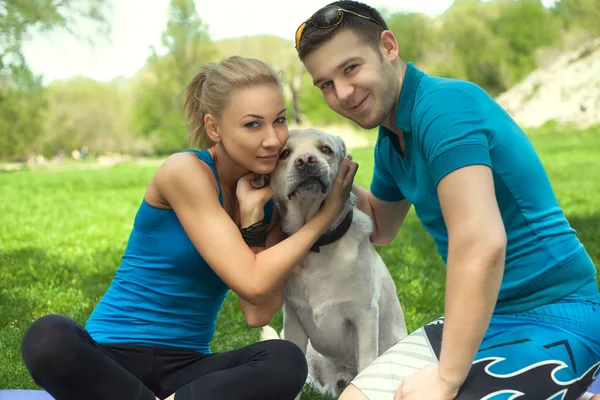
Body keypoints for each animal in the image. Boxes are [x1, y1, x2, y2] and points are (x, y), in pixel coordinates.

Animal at [262, 128, 408, 396]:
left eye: (325, 149)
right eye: (284, 154)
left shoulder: (364, 315)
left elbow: (366, 364)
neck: (317, 244)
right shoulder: (294, 321)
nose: (305, 160)